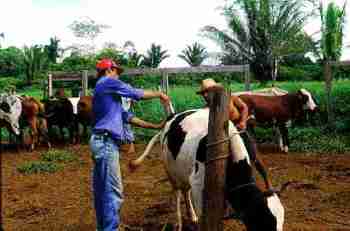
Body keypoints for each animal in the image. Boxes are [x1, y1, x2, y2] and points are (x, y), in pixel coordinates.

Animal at [131, 108, 284, 231]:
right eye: (264, 221)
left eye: (282, 221)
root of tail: (173, 116)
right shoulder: (198, 183)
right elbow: (203, 213)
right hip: (171, 172)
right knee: (178, 194)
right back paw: (178, 223)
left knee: (185, 192)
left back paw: (191, 216)